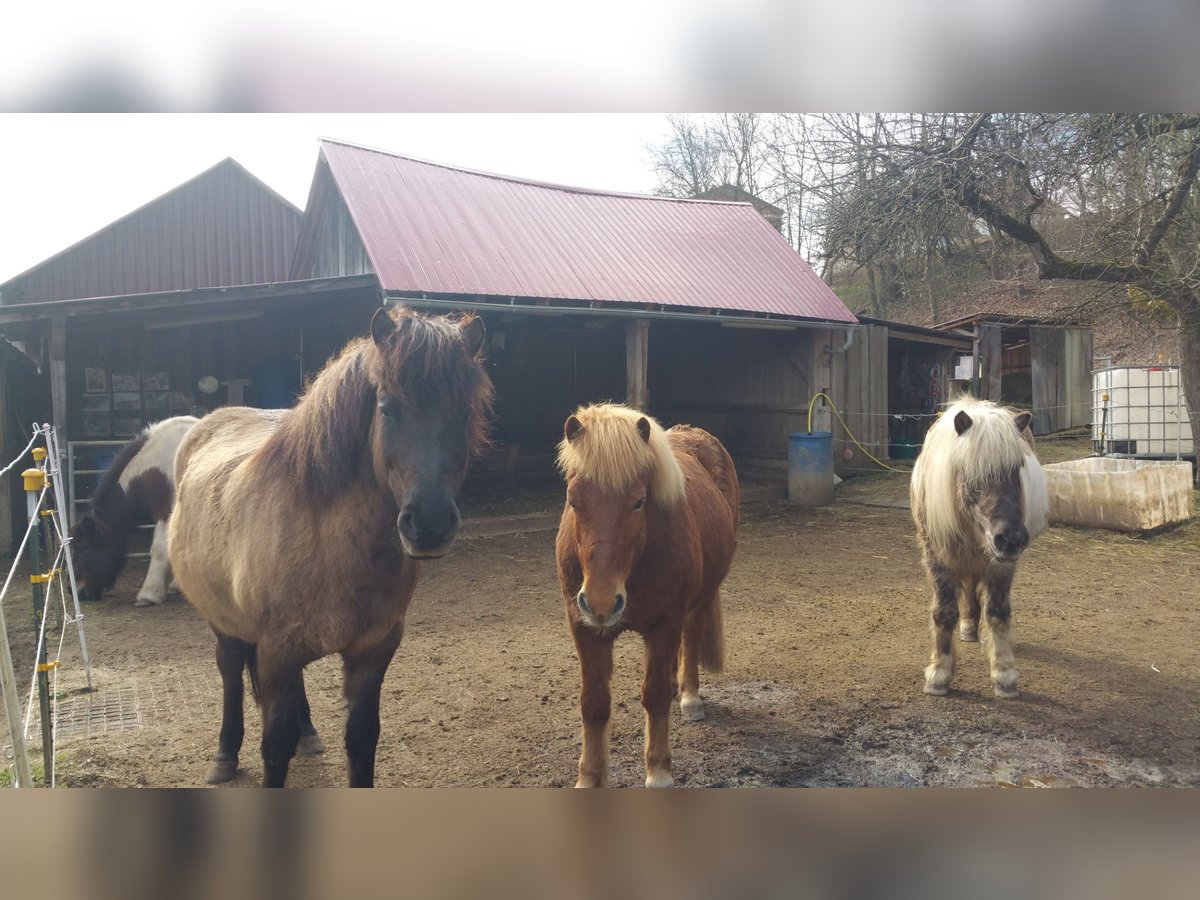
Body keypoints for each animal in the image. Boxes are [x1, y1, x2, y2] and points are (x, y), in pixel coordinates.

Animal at [166, 309, 489, 787]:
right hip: (223, 622)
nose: (429, 525)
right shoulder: (276, 650)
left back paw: (308, 733)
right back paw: (224, 755)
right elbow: (274, 746)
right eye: (387, 408)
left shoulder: (373, 649)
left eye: (464, 411)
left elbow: (362, 738)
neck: (330, 544)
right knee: (229, 667)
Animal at [554, 403, 739, 787]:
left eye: (639, 502)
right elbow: (593, 703)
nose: (601, 602)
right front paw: (589, 778)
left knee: (690, 639)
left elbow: (653, 698)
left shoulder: (665, 623)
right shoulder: (583, 628)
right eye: (572, 500)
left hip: (700, 600)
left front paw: (659, 773)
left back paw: (689, 697)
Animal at [912, 398, 1046, 700]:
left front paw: (1004, 675)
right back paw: (968, 627)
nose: (1011, 537)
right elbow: (944, 613)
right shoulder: (937, 558)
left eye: (1017, 467)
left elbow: (997, 612)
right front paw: (939, 674)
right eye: (971, 471)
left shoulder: (1002, 564)